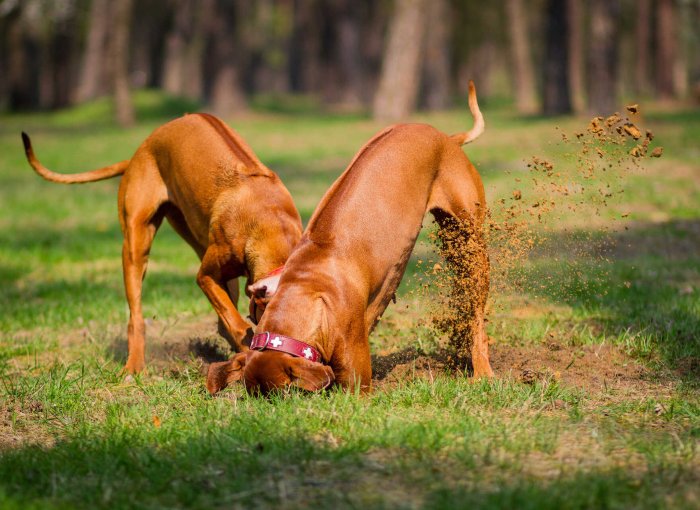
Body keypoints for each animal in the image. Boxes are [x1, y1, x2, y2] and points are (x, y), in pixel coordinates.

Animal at [23, 113, 302, 372]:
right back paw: (134, 367)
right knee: (136, 317)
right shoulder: (206, 276)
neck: (272, 225)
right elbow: (235, 321)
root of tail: (139, 152)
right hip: (136, 244)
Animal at [206, 82, 492, 394]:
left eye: (282, 396)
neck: (308, 286)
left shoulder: (355, 377)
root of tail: (447, 138)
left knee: (477, 316)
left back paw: (482, 370)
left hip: (470, 246)